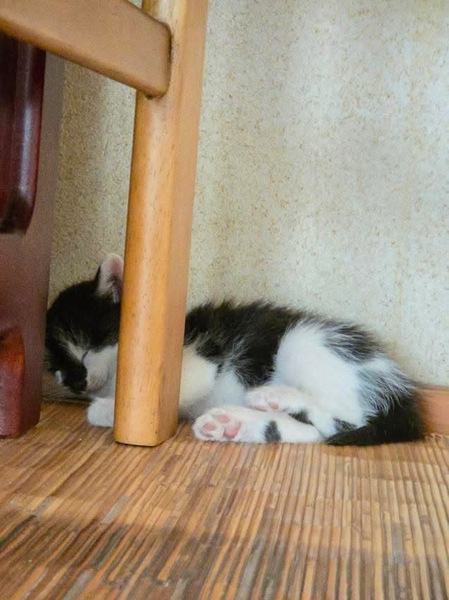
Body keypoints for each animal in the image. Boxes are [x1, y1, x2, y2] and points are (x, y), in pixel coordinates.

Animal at [45, 254, 423, 445]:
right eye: (58, 368)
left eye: (87, 348)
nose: (77, 382)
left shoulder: (198, 357)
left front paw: (112, 408)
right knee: (319, 431)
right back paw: (235, 423)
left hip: (303, 341)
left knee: (347, 416)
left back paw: (274, 396)